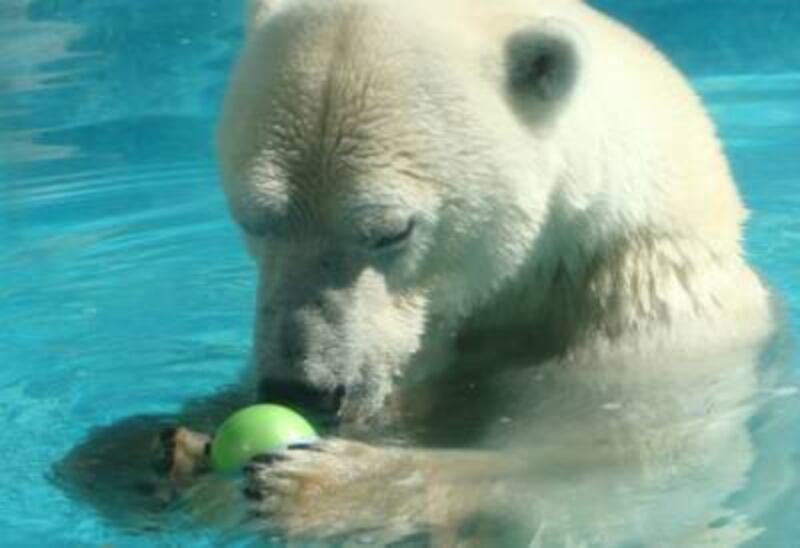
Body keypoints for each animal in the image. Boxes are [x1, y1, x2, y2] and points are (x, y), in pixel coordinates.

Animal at [162, 0, 778, 544]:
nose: (302, 388)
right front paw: (169, 447)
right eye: (254, 219)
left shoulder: (648, 339)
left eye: (391, 230)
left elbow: (597, 472)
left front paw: (328, 481)